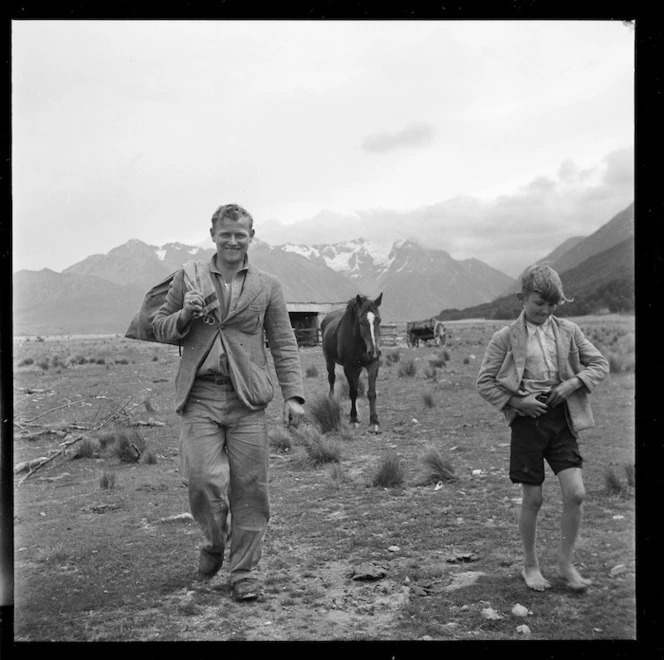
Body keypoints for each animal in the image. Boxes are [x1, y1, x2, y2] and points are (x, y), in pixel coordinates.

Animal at [320, 294, 382, 434]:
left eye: (378, 320)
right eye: (361, 321)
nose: (374, 352)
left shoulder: (372, 364)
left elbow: (371, 392)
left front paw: (374, 422)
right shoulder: (348, 367)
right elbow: (353, 392)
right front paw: (354, 420)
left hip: (357, 368)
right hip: (329, 360)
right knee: (331, 379)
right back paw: (332, 401)